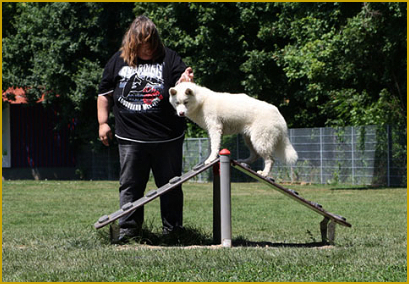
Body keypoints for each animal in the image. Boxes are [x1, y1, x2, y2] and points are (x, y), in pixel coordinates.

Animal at [167, 81, 298, 176]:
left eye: (186, 102)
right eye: (177, 103)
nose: (181, 113)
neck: (201, 102)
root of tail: (278, 114)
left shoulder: (215, 128)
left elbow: (214, 147)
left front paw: (211, 159)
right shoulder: (210, 131)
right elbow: (211, 147)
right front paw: (208, 159)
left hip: (260, 141)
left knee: (270, 160)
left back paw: (264, 173)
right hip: (249, 139)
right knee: (255, 155)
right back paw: (243, 162)